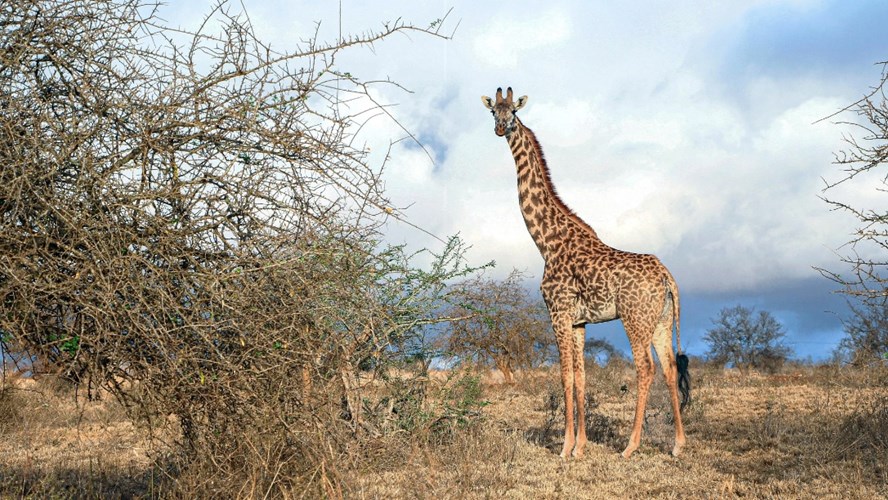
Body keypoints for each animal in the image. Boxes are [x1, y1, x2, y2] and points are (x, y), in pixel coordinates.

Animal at [482, 87, 690, 459]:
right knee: (668, 369)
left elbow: (565, 377)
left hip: (635, 318)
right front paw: (580, 446)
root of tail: (668, 278)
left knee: (646, 368)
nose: (501, 128)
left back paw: (630, 446)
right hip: (662, 320)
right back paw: (678, 445)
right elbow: (580, 378)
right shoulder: (579, 321)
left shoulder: (558, 313)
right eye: (493, 111)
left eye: (513, 113)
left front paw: (565, 448)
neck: (546, 241)